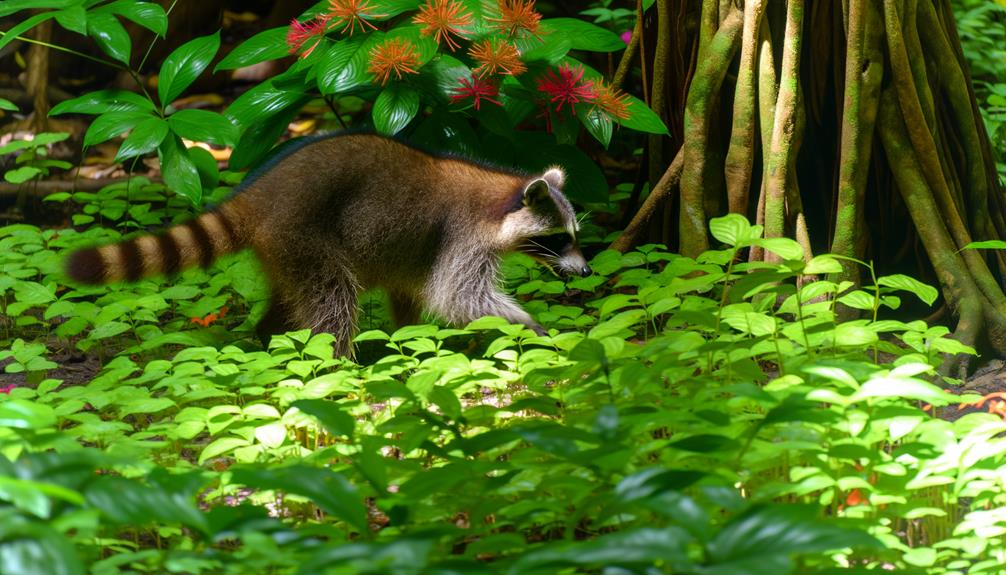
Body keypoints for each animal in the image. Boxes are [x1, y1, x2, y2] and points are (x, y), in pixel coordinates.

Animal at [64, 132, 587, 355]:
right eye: (558, 239)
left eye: (574, 236)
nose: (585, 271)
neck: (501, 194)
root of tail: (261, 193)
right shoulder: (461, 235)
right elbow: (458, 297)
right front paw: (530, 326)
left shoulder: (417, 251)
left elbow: (411, 294)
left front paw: (411, 340)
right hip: (307, 235)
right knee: (334, 300)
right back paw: (336, 361)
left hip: (287, 251)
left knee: (295, 297)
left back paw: (270, 336)